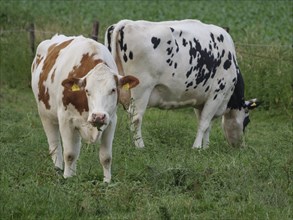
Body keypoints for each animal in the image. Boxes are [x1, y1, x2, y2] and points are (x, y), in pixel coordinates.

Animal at [31, 34, 139, 182]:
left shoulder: (111, 121)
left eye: (113, 90)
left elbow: (106, 157)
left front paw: (107, 181)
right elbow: (69, 154)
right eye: (87, 91)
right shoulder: (65, 120)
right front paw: (67, 178)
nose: (98, 116)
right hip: (45, 115)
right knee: (55, 147)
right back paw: (58, 171)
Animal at [104, 19, 258, 149]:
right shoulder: (217, 94)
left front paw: (206, 147)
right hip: (141, 89)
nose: (242, 146)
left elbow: (206, 124)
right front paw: (197, 148)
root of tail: (127, 23)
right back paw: (140, 146)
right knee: (136, 117)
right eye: (247, 121)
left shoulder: (201, 99)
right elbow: (204, 123)